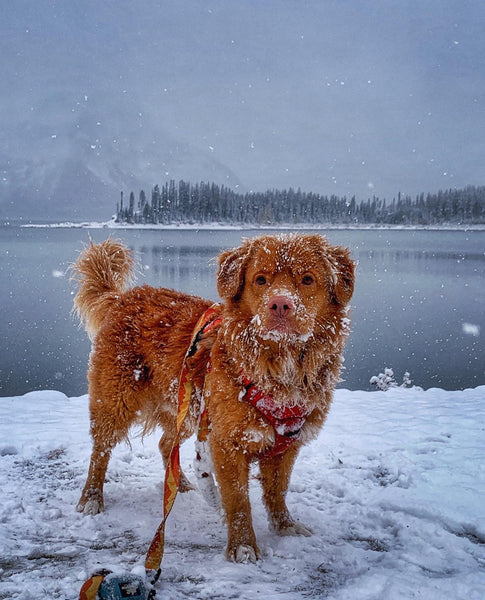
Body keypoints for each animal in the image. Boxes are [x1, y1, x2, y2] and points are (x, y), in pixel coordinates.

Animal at [73, 233, 352, 564]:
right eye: (260, 279)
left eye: (307, 279)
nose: (280, 304)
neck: (276, 370)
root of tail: (123, 298)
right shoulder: (227, 442)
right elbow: (238, 500)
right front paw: (243, 547)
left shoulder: (287, 444)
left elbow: (277, 490)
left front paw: (285, 526)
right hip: (116, 401)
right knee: (100, 450)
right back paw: (91, 498)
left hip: (187, 407)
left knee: (166, 444)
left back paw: (178, 485)